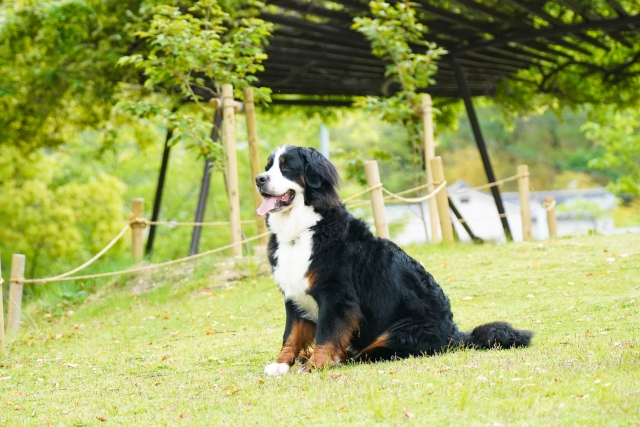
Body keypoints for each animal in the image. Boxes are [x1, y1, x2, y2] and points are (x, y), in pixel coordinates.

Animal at [258, 145, 532, 374]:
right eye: (268, 166)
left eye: (286, 167)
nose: (259, 179)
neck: (301, 231)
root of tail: (455, 335)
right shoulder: (294, 295)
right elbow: (291, 335)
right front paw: (281, 364)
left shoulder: (336, 296)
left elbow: (326, 334)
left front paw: (317, 364)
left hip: (399, 331)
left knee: (367, 353)